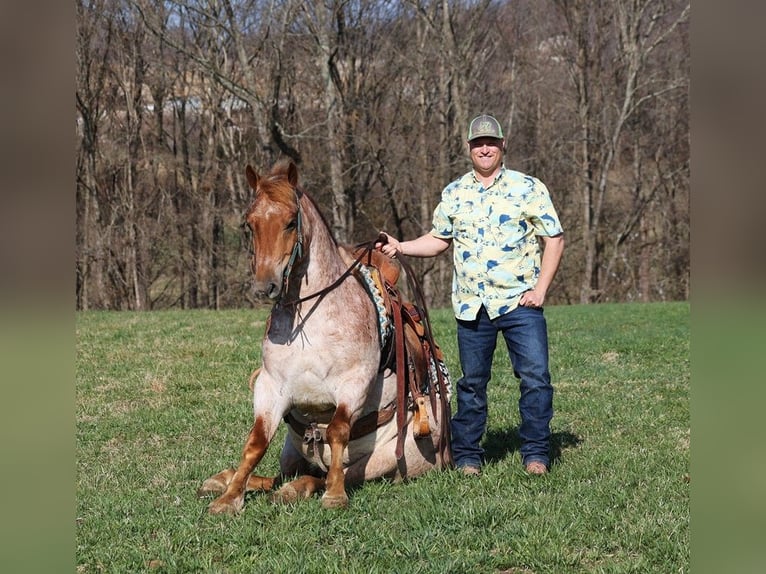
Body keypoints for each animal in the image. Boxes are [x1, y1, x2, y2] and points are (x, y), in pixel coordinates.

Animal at [198, 159, 452, 514]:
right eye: (249, 224)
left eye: (291, 222)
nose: (265, 286)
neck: (309, 320)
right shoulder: (270, 387)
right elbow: (256, 442)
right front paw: (229, 498)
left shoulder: (354, 383)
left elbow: (337, 430)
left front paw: (334, 495)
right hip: (292, 453)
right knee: (279, 475)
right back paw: (225, 480)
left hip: (385, 460)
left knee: (334, 473)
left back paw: (299, 488)